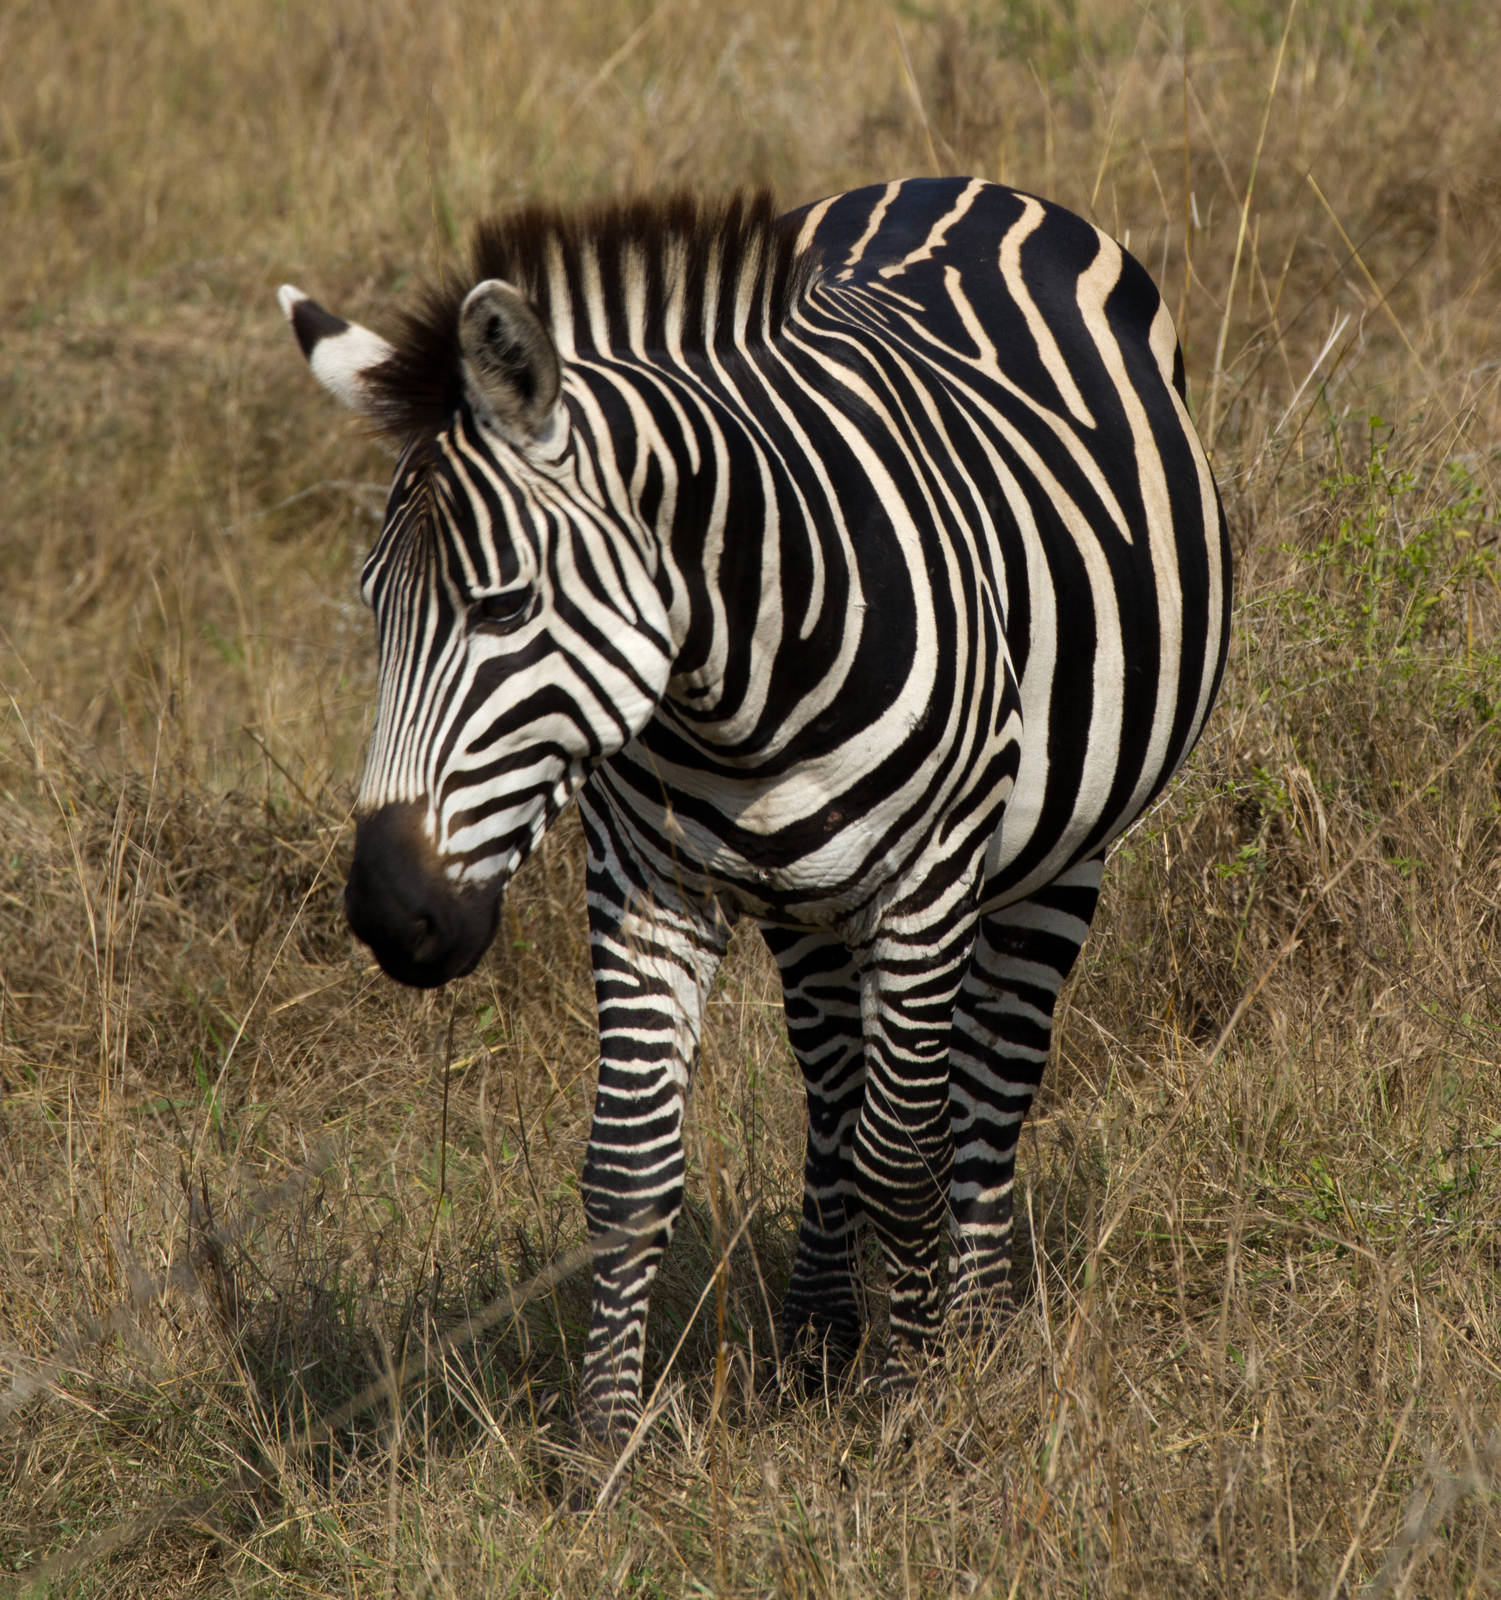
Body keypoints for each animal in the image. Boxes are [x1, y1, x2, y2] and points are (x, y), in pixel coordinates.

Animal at [279, 178, 1231, 1439]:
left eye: (503, 604)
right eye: (373, 606)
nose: (391, 913)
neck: (737, 675)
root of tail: (949, 182)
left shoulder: (930, 876)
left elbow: (904, 1154)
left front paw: (914, 1405)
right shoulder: (645, 880)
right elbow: (629, 1169)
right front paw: (600, 1446)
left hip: (1058, 854)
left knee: (989, 1083)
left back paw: (977, 1329)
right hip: (805, 894)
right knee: (831, 1089)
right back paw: (818, 1338)